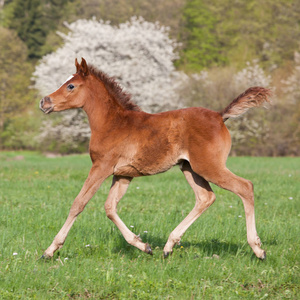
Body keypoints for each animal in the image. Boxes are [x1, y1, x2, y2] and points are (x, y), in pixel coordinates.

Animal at [38, 57, 270, 258]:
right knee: (205, 197)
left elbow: (78, 203)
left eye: (70, 86)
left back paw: (257, 249)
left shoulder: (101, 167)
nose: (44, 102)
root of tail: (220, 116)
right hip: (189, 167)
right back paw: (168, 246)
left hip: (209, 166)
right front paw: (143, 246)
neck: (113, 124)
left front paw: (50, 250)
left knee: (245, 187)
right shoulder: (123, 175)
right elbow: (110, 207)